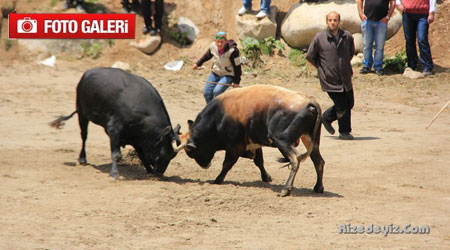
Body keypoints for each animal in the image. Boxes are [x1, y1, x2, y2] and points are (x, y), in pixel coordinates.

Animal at [49, 67, 181, 179]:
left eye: (172, 156)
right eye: (163, 153)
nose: (159, 173)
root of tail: (87, 73)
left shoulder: (136, 136)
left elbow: (141, 154)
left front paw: (148, 171)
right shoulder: (114, 129)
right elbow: (116, 154)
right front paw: (114, 174)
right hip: (82, 113)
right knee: (84, 135)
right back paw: (82, 159)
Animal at [179, 85, 324, 196]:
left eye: (191, 152)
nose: (205, 165)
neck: (219, 115)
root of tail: (308, 102)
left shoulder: (234, 146)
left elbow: (227, 164)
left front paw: (218, 179)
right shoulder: (254, 142)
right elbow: (259, 161)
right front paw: (266, 177)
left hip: (282, 141)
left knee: (295, 159)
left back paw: (286, 189)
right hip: (311, 141)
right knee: (319, 162)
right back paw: (318, 187)